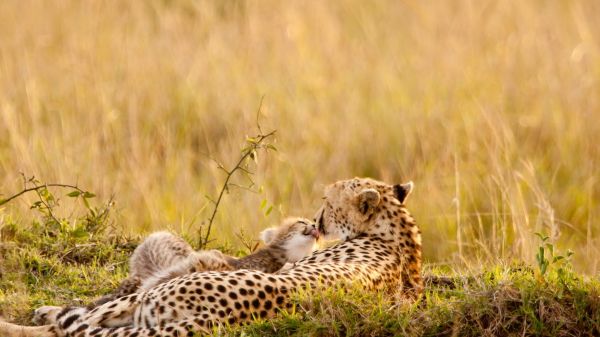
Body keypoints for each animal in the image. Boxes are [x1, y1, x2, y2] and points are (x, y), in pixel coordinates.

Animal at [0, 176, 422, 336]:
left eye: (327, 202)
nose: (317, 219)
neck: (397, 233)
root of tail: (211, 316)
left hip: (146, 300)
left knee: (73, 326)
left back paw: (29, 320)